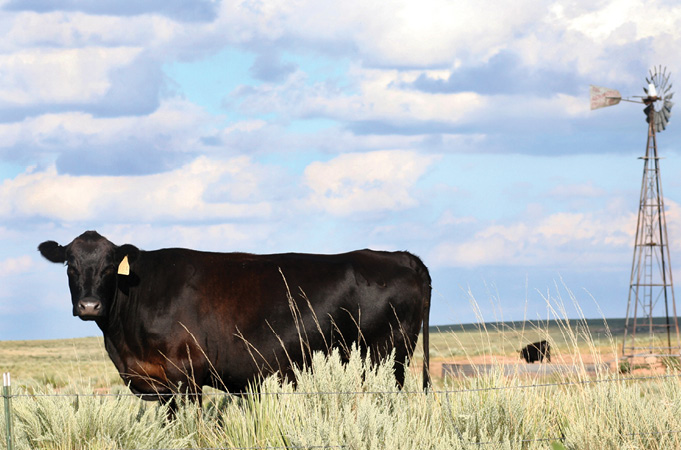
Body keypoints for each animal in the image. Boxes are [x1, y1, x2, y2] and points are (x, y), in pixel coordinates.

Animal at [38, 232, 430, 408]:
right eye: (70, 265)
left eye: (108, 267)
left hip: (385, 357)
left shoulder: (184, 377)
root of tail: (401, 256)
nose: (89, 305)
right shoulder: (158, 384)